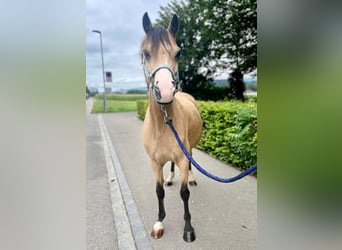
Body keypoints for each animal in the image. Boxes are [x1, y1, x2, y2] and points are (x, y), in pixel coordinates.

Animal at [140, 12, 202, 242]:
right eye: (146, 53)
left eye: (178, 53)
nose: (165, 90)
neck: (162, 124)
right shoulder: (154, 163)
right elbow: (159, 192)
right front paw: (159, 223)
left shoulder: (183, 157)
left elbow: (184, 194)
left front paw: (188, 229)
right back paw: (170, 178)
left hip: (189, 147)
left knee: (191, 160)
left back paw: (191, 178)